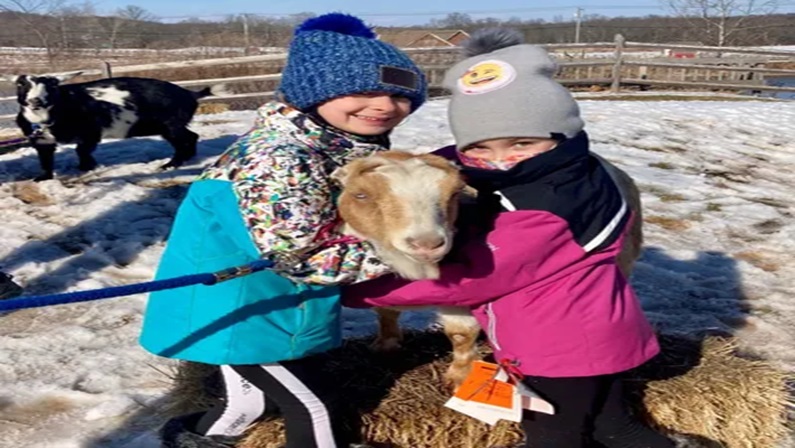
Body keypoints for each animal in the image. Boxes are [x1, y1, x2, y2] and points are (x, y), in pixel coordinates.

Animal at [1, 72, 225, 180]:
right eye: (21, 84)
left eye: (52, 85)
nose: (35, 101)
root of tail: (190, 94)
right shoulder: (42, 141)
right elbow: (46, 161)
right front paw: (42, 179)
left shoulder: (91, 132)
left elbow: (82, 150)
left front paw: (86, 168)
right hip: (167, 127)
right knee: (190, 137)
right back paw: (184, 160)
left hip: (171, 124)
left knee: (186, 139)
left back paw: (170, 165)